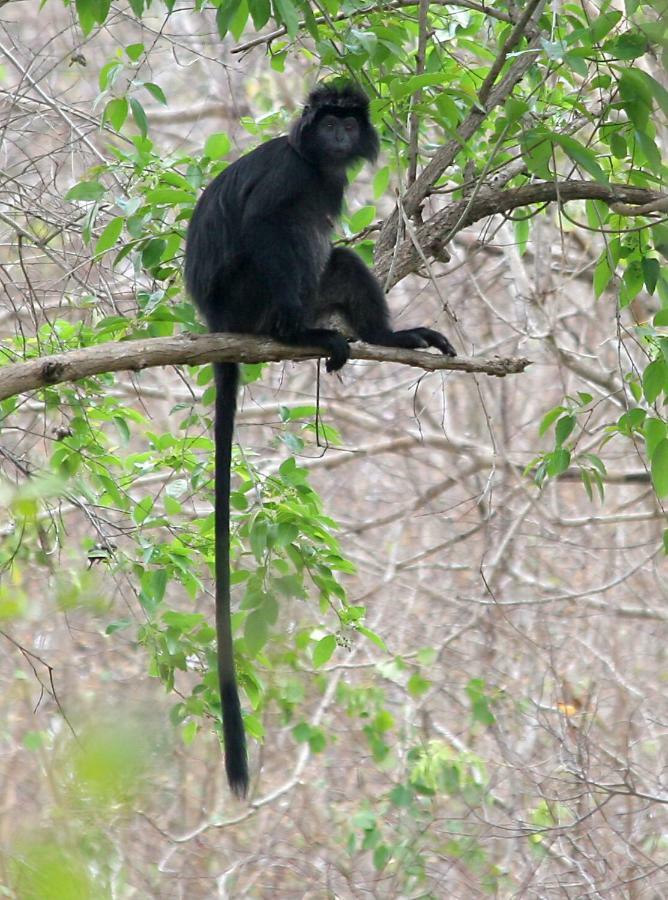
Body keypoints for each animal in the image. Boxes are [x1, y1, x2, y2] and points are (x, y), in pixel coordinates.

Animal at [184, 79, 454, 796]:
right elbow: (266, 224)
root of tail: (216, 322)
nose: (335, 133)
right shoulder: (290, 174)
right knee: (288, 240)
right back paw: (297, 332)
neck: (317, 163)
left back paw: (388, 337)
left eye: (346, 121)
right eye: (327, 118)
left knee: (340, 257)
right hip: (248, 297)